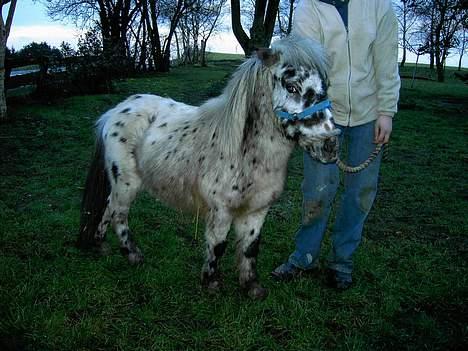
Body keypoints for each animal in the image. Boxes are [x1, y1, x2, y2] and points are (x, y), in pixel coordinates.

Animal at [78, 35, 338, 300]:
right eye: (292, 87)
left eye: (324, 87)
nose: (330, 145)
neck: (246, 154)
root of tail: (114, 112)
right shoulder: (221, 211)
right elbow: (218, 246)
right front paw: (212, 283)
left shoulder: (257, 211)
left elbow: (250, 248)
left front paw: (252, 287)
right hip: (126, 183)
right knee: (117, 212)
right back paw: (129, 254)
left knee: (109, 210)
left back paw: (104, 246)